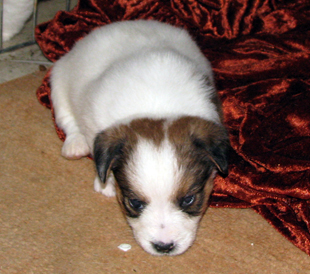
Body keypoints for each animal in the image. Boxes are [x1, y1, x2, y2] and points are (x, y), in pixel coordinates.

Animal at [50, 20, 229, 256]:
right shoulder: (93, 121)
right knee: (66, 117)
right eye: (135, 203)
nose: (164, 247)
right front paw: (105, 184)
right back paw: (75, 145)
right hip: (59, 80)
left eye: (188, 200)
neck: (157, 108)